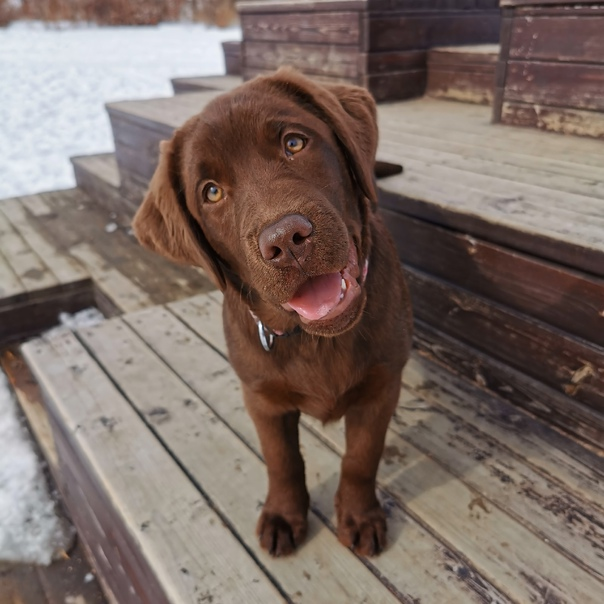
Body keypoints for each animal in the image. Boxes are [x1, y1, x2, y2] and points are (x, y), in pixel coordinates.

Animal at [132, 69, 412, 556]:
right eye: (211, 192)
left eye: (294, 143)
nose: (285, 240)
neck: (316, 338)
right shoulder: (261, 397)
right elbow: (282, 460)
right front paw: (283, 515)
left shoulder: (381, 387)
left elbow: (361, 457)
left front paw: (359, 516)